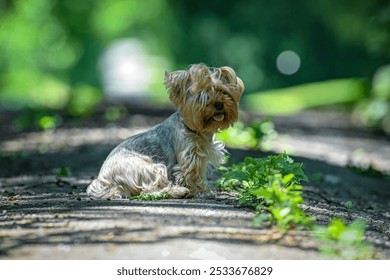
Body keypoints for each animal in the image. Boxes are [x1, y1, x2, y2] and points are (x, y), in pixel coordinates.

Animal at [87, 63, 244, 199]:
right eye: (202, 97)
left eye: (223, 92)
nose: (219, 104)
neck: (197, 130)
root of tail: (103, 181)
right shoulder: (190, 155)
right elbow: (192, 174)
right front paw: (200, 192)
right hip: (149, 167)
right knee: (149, 189)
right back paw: (178, 191)